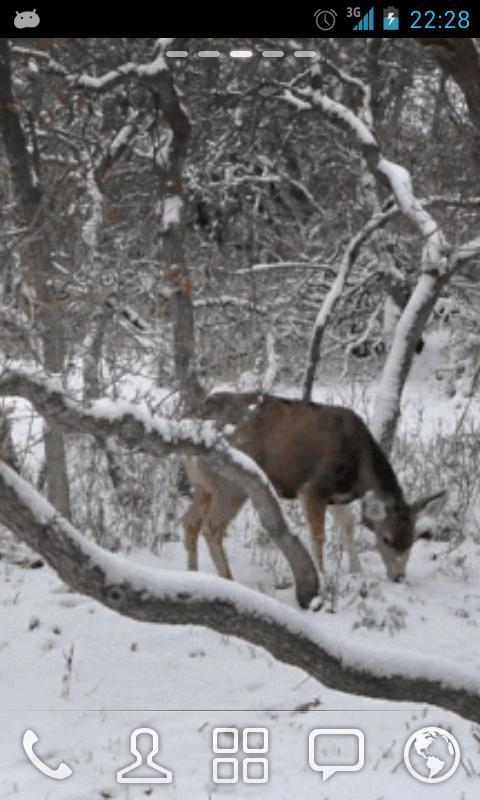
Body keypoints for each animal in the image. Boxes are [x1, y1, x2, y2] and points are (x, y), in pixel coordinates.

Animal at [182, 391, 444, 585]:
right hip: (230, 483)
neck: (358, 470)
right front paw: (322, 574)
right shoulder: (314, 487)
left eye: (413, 539)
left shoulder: (337, 496)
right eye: (386, 539)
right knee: (211, 527)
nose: (398, 577)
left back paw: (192, 572)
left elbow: (348, 526)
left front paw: (356, 571)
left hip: (203, 485)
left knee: (189, 521)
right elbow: (318, 535)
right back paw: (228, 579)